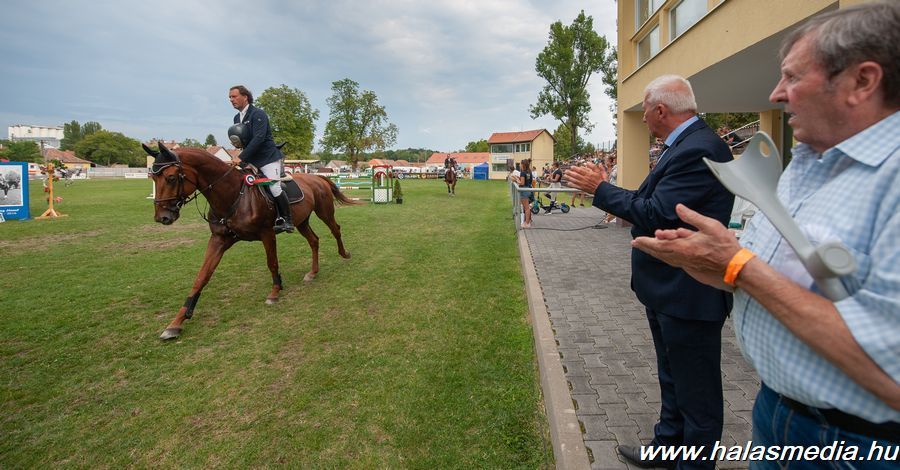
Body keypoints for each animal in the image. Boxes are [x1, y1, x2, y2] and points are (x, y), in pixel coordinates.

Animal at [143, 143, 358, 340]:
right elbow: (202, 276)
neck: (233, 195)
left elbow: (272, 263)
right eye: (153, 178)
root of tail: (316, 177)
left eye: (171, 178)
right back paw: (312, 273)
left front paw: (275, 292)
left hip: (324, 212)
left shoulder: (267, 234)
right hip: (302, 221)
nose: (162, 217)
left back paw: (344, 254)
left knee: (335, 230)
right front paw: (176, 322)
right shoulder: (219, 240)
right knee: (314, 240)